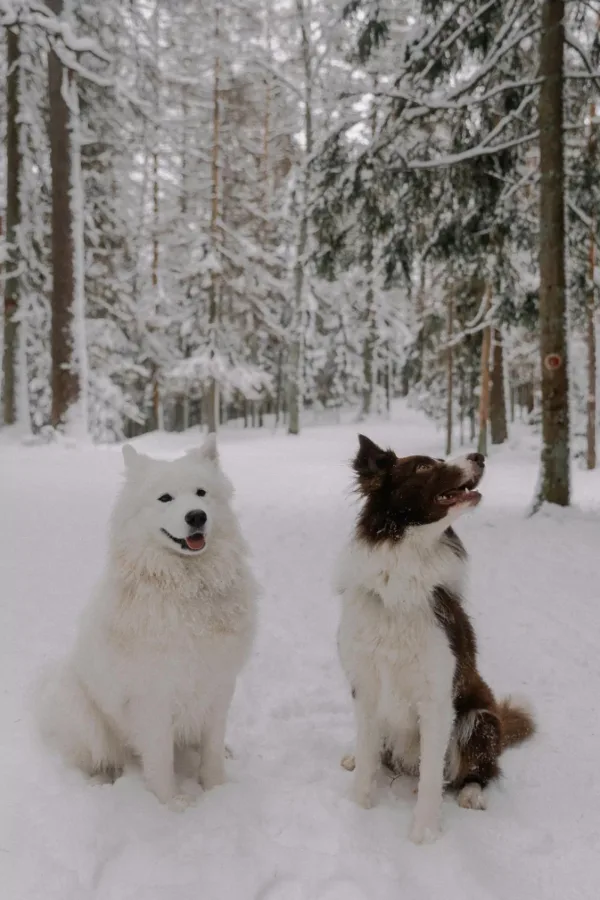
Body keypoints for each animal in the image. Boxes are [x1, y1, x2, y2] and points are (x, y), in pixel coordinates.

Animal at [37, 436, 258, 808]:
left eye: (201, 493)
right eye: (165, 498)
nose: (196, 516)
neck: (187, 587)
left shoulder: (217, 684)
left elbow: (211, 750)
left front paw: (217, 791)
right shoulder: (153, 697)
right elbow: (160, 758)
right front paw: (171, 804)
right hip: (83, 712)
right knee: (100, 757)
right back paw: (101, 781)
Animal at [336, 436, 536, 844]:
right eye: (425, 467)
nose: (479, 456)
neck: (403, 577)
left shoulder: (437, 698)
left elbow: (432, 775)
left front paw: (424, 833)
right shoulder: (365, 686)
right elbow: (367, 757)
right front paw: (359, 808)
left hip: (479, 718)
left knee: (479, 771)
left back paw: (472, 794)